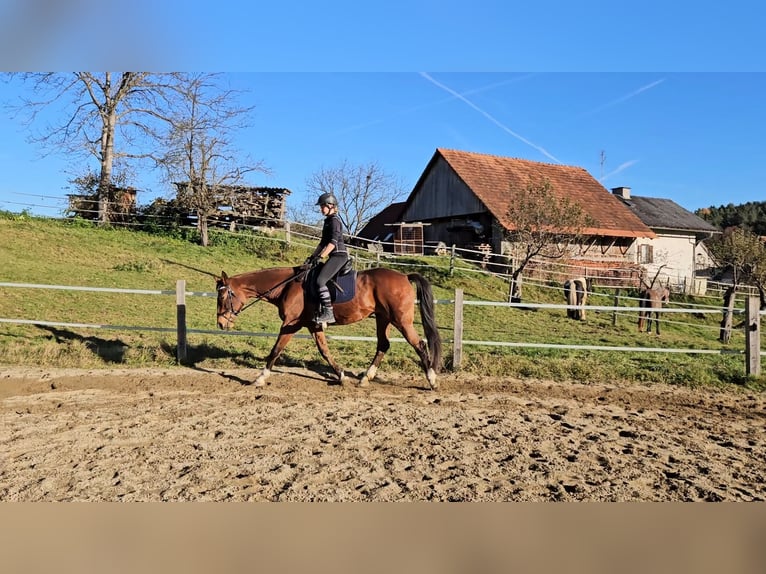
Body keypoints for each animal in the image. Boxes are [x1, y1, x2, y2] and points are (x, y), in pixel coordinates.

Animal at [216, 266, 444, 392]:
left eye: (223, 296)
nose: (220, 324)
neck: (287, 286)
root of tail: (405, 277)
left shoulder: (290, 324)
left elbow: (275, 350)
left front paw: (260, 378)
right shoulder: (312, 325)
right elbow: (324, 351)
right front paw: (342, 376)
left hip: (401, 321)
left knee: (419, 345)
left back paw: (432, 381)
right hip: (383, 319)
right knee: (383, 345)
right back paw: (365, 379)